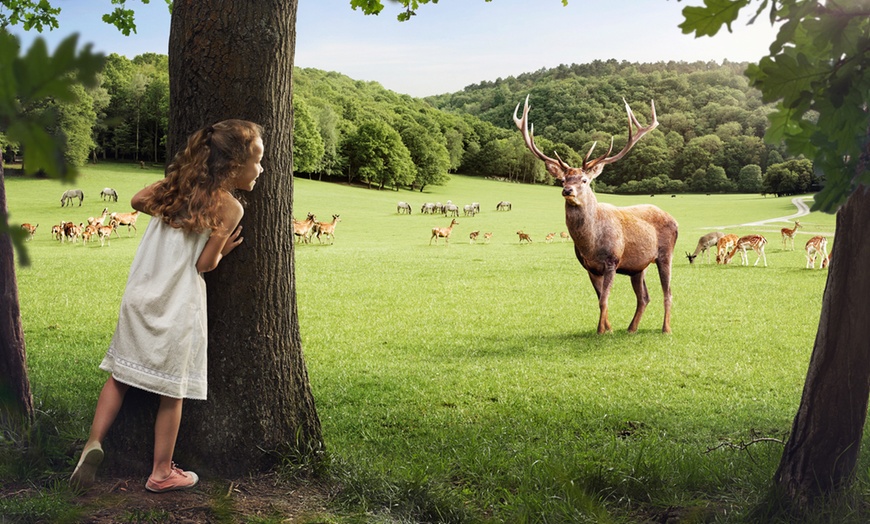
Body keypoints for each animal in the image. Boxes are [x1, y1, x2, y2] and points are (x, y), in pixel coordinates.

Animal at [516, 94, 676, 334]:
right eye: (563, 180)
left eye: (584, 180)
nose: (567, 191)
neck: (590, 244)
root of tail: (674, 219)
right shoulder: (589, 266)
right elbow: (600, 298)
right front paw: (608, 328)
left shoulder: (612, 260)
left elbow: (604, 299)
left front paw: (601, 331)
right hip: (638, 267)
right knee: (644, 297)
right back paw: (631, 329)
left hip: (666, 254)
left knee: (668, 293)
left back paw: (666, 329)